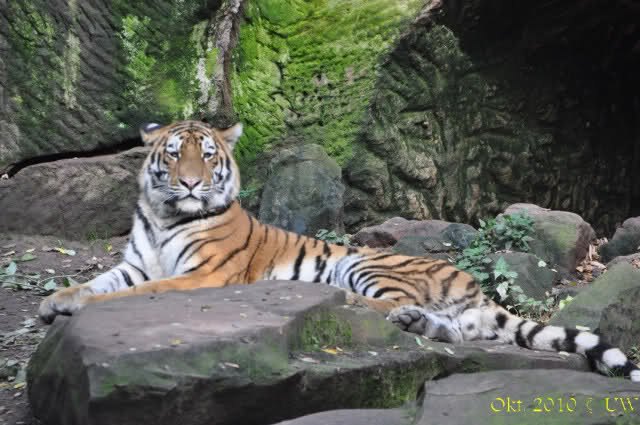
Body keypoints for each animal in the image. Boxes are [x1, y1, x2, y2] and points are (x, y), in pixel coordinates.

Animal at [38, 119, 639, 383]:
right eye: (173, 155)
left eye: (208, 156)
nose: (189, 183)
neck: (166, 216)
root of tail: (474, 285)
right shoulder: (134, 262)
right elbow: (97, 282)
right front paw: (55, 302)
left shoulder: (201, 275)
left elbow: (136, 293)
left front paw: (78, 306)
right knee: (456, 330)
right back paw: (417, 324)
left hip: (364, 261)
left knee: (381, 302)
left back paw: (361, 305)